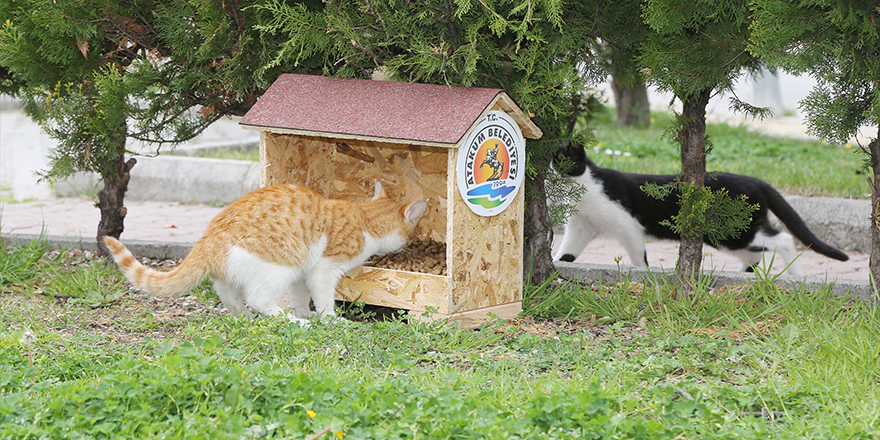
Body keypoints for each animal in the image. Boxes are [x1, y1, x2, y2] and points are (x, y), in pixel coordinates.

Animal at [106, 182, 426, 320]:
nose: (409, 245)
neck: (364, 219)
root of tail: (209, 239)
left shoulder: (302, 274)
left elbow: (300, 298)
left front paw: (305, 313)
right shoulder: (322, 270)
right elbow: (324, 300)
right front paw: (326, 319)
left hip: (244, 274)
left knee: (229, 295)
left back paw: (244, 317)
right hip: (279, 267)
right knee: (259, 299)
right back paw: (288, 321)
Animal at [552, 144, 848, 276]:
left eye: (560, 160)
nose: (549, 169)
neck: (582, 190)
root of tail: (758, 181)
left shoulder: (628, 226)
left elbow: (638, 257)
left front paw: (642, 273)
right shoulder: (580, 227)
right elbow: (565, 253)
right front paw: (557, 263)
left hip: (737, 231)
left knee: (783, 239)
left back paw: (793, 275)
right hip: (729, 237)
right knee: (755, 254)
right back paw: (742, 275)